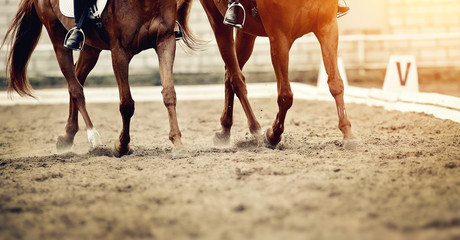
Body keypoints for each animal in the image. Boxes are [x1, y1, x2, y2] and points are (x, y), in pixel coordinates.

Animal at [2, 0, 199, 158]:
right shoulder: (120, 51)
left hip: (90, 48)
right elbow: (127, 104)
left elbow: (169, 94)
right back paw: (93, 137)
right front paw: (121, 146)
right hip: (56, 35)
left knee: (77, 77)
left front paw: (178, 144)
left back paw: (67, 136)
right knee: (75, 87)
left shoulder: (165, 41)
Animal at [199, 0, 358, 149]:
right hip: (217, 23)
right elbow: (285, 96)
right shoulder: (279, 38)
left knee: (229, 74)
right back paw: (254, 129)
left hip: (247, 33)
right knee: (236, 78)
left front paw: (348, 134)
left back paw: (225, 131)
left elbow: (336, 84)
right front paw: (272, 136)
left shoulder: (327, 27)